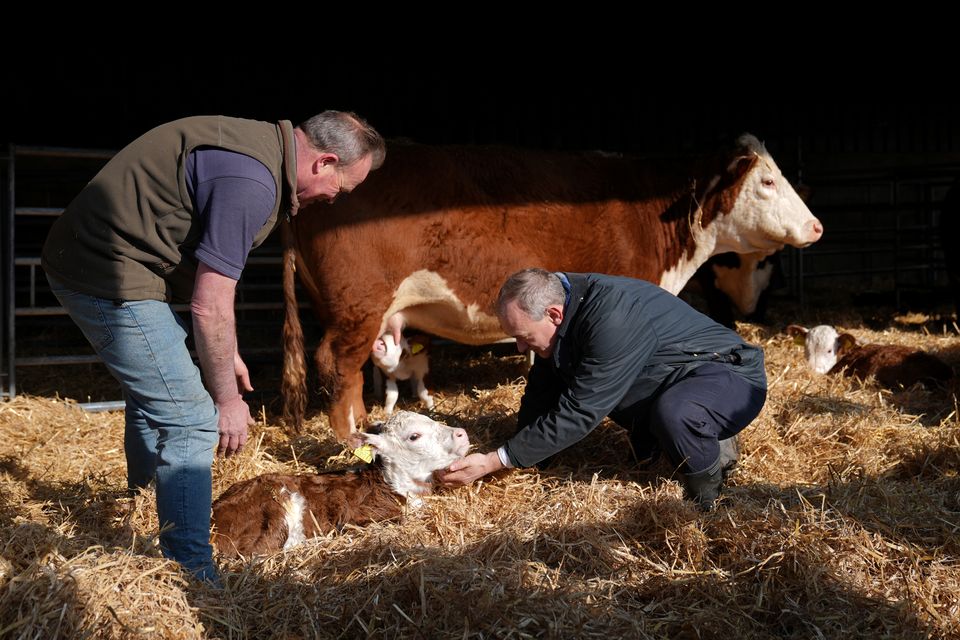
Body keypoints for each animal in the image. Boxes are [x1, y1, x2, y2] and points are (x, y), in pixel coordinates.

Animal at [282, 134, 820, 440]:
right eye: (767, 182)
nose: (816, 226)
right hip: (359, 303)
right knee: (338, 364)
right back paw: (350, 439)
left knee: (349, 370)